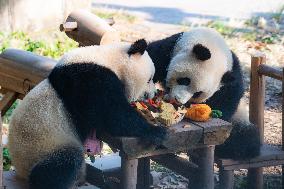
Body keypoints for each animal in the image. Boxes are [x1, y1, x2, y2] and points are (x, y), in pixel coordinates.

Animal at [8, 39, 166, 188]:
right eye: (149, 79)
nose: (153, 93)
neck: (110, 60)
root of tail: (20, 169)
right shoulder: (90, 79)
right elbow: (112, 115)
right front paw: (156, 131)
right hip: (44, 145)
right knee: (62, 165)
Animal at [148, 27, 260, 159]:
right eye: (185, 80)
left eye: (198, 93)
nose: (178, 100)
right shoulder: (168, 49)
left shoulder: (229, 83)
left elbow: (225, 103)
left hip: (240, 119)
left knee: (245, 139)